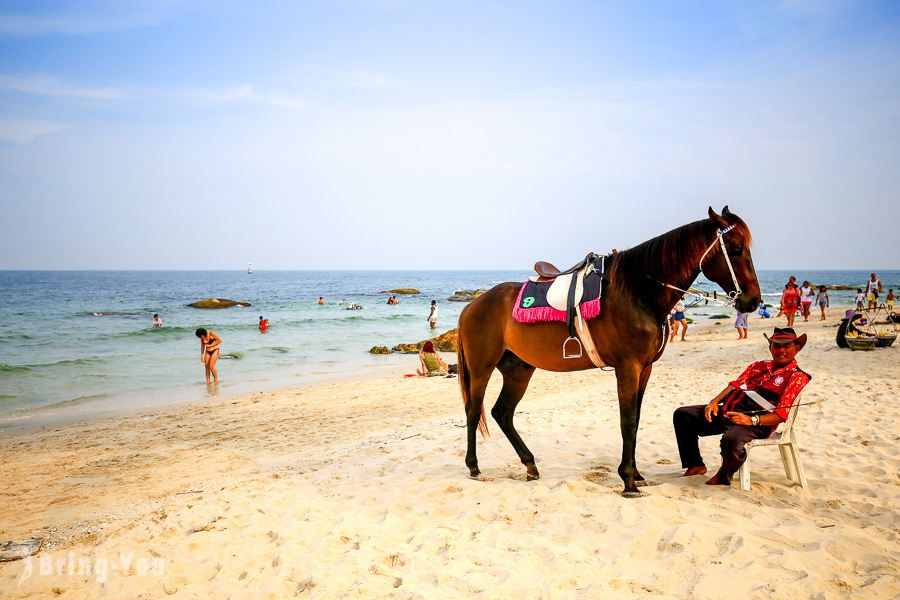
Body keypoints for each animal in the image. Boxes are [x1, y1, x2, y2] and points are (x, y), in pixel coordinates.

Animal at [458, 206, 760, 496]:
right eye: (735, 249)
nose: (753, 300)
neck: (635, 292)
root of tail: (473, 304)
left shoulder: (645, 369)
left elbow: (636, 420)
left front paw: (636, 474)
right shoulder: (628, 367)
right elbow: (628, 422)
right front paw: (628, 482)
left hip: (519, 370)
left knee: (502, 413)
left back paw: (530, 465)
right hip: (481, 367)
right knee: (473, 410)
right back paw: (473, 467)